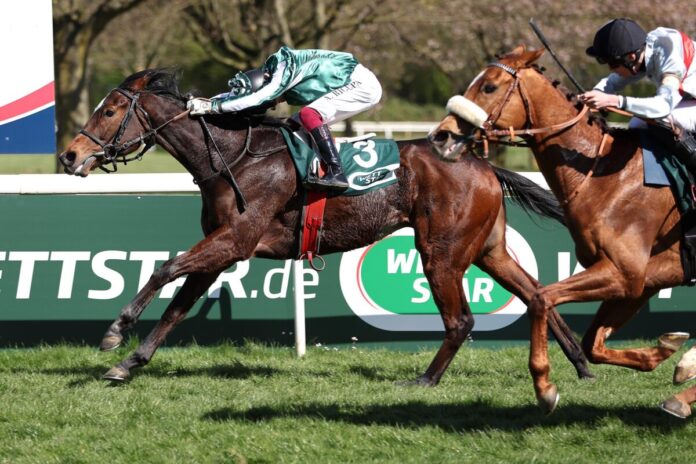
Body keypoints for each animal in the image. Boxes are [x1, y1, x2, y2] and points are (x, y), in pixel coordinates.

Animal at [58, 69, 591, 387]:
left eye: (109, 110)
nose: (68, 156)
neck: (232, 158)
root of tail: (482, 164)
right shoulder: (221, 250)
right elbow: (177, 307)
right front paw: (128, 364)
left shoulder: (235, 240)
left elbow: (164, 269)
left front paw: (115, 331)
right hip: (487, 248)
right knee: (536, 293)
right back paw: (582, 364)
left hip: (441, 251)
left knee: (462, 320)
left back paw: (424, 380)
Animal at [428, 46, 696, 417]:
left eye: (489, 87)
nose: (441, 137)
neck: (602, 173)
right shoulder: (644, 279)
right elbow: (593, 343)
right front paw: (669, 353)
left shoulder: (624, 272)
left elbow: (541, 298)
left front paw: (544, 387)